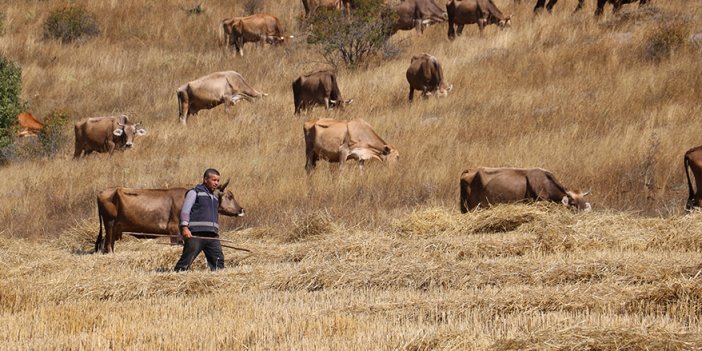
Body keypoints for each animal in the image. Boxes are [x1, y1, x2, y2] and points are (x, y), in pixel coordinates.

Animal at [95, 183, 245, 254]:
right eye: (229, 196)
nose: (242, 210)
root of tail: (102, 191)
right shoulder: (173, 229)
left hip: (114, 227)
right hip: (110, 223)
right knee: (107, 244)